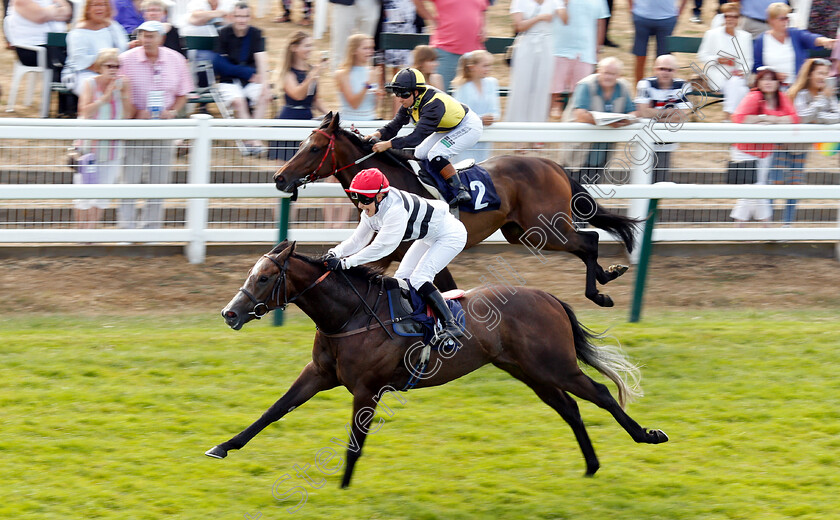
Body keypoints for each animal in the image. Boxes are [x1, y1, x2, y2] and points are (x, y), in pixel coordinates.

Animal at [208, 242, 668, 490]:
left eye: (265, 278)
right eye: (252, 273)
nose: (230, 314)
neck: (350, 316)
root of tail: (548, 296)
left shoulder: (367, 389)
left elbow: (355, 441)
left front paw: (342, 486)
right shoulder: (320, 374)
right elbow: (274, 410)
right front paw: (224, 446)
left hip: (554, 365)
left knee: (601, 394)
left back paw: (647, 435)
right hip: (529, 371)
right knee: (570, 408)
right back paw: (591, 465)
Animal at [272, 113, 640, 306]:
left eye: (315, 148)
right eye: (301, 144)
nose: (279, 178)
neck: (387, 185)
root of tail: (553, 165)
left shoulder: (395, 249)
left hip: (547, 227)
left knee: (589, 240)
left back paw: (600, 292)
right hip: (524, 233)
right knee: (585, 243)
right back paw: (608, 275)